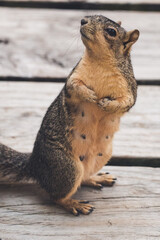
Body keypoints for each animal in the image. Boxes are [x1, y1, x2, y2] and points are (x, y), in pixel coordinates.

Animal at [0, 15, 139, 217]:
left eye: (111, 31)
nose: (83, 21)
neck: (100, 62)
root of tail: (35, 164)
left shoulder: (129, 88)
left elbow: (126, 102)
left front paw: (106, 104)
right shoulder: (73, 78)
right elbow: (75, 87)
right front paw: (90, 95)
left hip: (100, 157)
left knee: (82, 179)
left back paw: (96, 178)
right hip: (67, 167)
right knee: (56, 197)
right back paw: (75, 204)